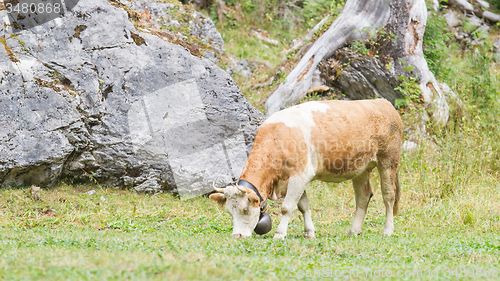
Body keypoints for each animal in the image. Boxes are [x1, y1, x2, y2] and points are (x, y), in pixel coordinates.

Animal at [210, 99, 402, 238]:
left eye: (245, 209)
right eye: (229, 211)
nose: (237, 236)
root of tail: (383, 102)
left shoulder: (300, 175)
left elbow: (287, 207)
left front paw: (279, 234)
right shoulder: (292, 179)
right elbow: (303, 206)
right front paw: (310, 232)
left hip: (388, 160)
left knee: (389, 196)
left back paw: (388, 230)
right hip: (360, 168)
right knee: (363, 197)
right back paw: (354, 231)